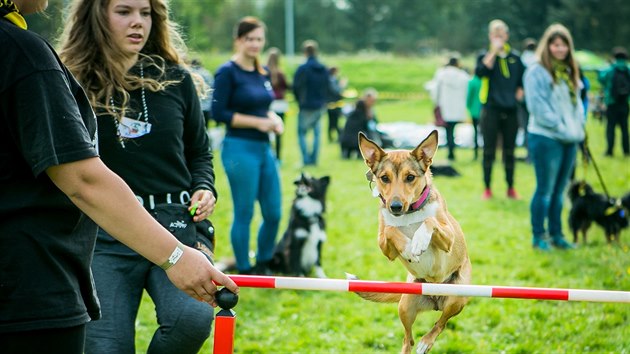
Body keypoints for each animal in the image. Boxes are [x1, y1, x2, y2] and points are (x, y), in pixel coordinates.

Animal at [358, 131, 472, 354]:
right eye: (384, 178)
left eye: (410, 177)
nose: (395, 206)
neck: (409, 214)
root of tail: (435, 300)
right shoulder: (385, 247)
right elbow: (391, 230)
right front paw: (408, 249)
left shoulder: (448, 238)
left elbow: (430, 221)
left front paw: (418, 242)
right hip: (406, 304)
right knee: (407, 338)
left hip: (457, 296)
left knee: (441, 323)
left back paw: (426, 341)